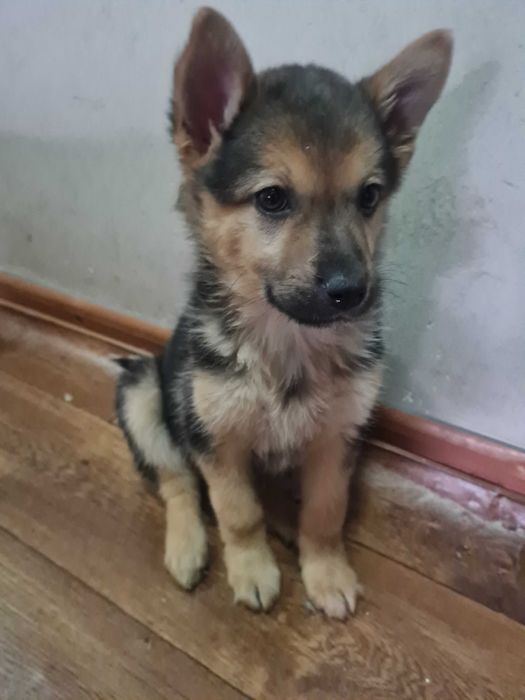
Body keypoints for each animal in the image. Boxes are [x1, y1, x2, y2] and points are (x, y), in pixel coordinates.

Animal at [115, 7, 452, 619]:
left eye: (369, 197)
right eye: (272, 199)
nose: (353, 291)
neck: (289, 339)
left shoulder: (336, 439)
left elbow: (325, 511)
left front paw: (325, 570)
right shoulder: (216, 441)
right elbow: (235, 510)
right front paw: (251, 568)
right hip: (144, 393)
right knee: (178, 482)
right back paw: (187, 544)